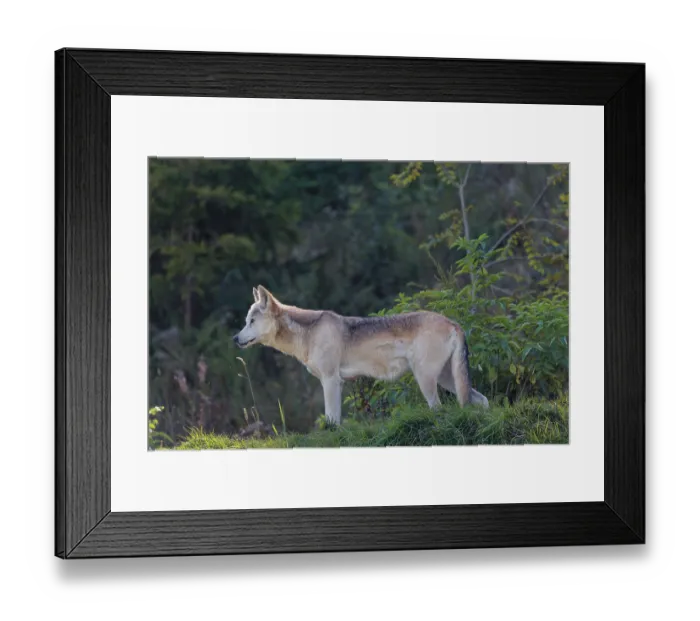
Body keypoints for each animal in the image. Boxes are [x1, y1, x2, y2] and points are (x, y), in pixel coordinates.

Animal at [233, 286, 489, 425]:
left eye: (252, 321)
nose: (235, 338)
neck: (308, 334)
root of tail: (454, 323)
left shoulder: (330, 381)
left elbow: (331, 420)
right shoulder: (337, 383)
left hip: (426, 380)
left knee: (439, 408)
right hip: (447, 380)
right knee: (482, 400)